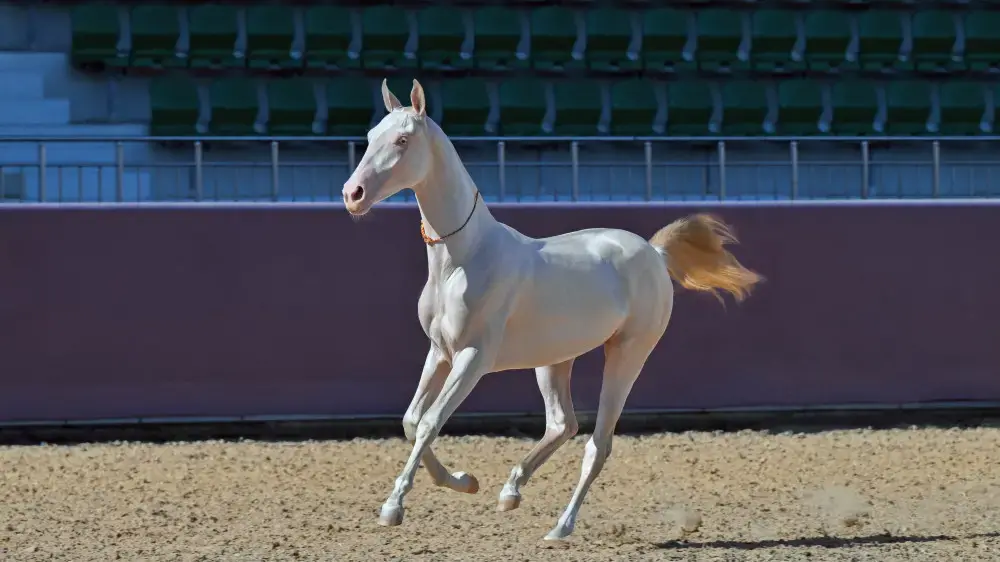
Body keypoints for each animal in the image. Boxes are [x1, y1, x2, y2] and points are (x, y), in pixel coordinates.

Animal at [341, 78, 763, 541]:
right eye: (369, 137)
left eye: (402, 140)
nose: (352, 195)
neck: (463, 260)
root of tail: (654, 253)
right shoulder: (440, 353)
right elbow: (412, 421)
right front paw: (465, 482)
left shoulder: (472, 358)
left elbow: (432, 421)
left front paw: (393, 507)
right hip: (554, 360)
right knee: (563, 424)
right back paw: (510, 492)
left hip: (628, 354)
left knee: (598, 443)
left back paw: (561, 526)